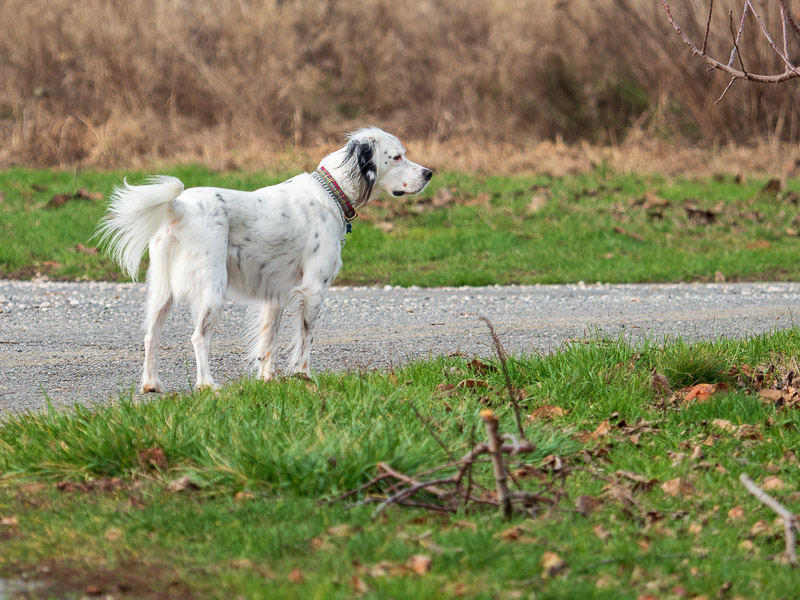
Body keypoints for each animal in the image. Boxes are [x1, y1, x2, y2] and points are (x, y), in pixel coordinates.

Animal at [102, 128, 434, 392]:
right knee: (198, 337)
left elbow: (268, 342)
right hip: (212, 290)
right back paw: (207, 384)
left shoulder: (275, 294)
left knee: (151, 336)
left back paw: (151, 384)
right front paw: (304, 377)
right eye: (397, 157)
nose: (429, 173)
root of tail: (179, 207)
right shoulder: (313, 289)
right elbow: (305, 339)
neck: (330, 194)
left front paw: (267, 380)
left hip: (163, 291)